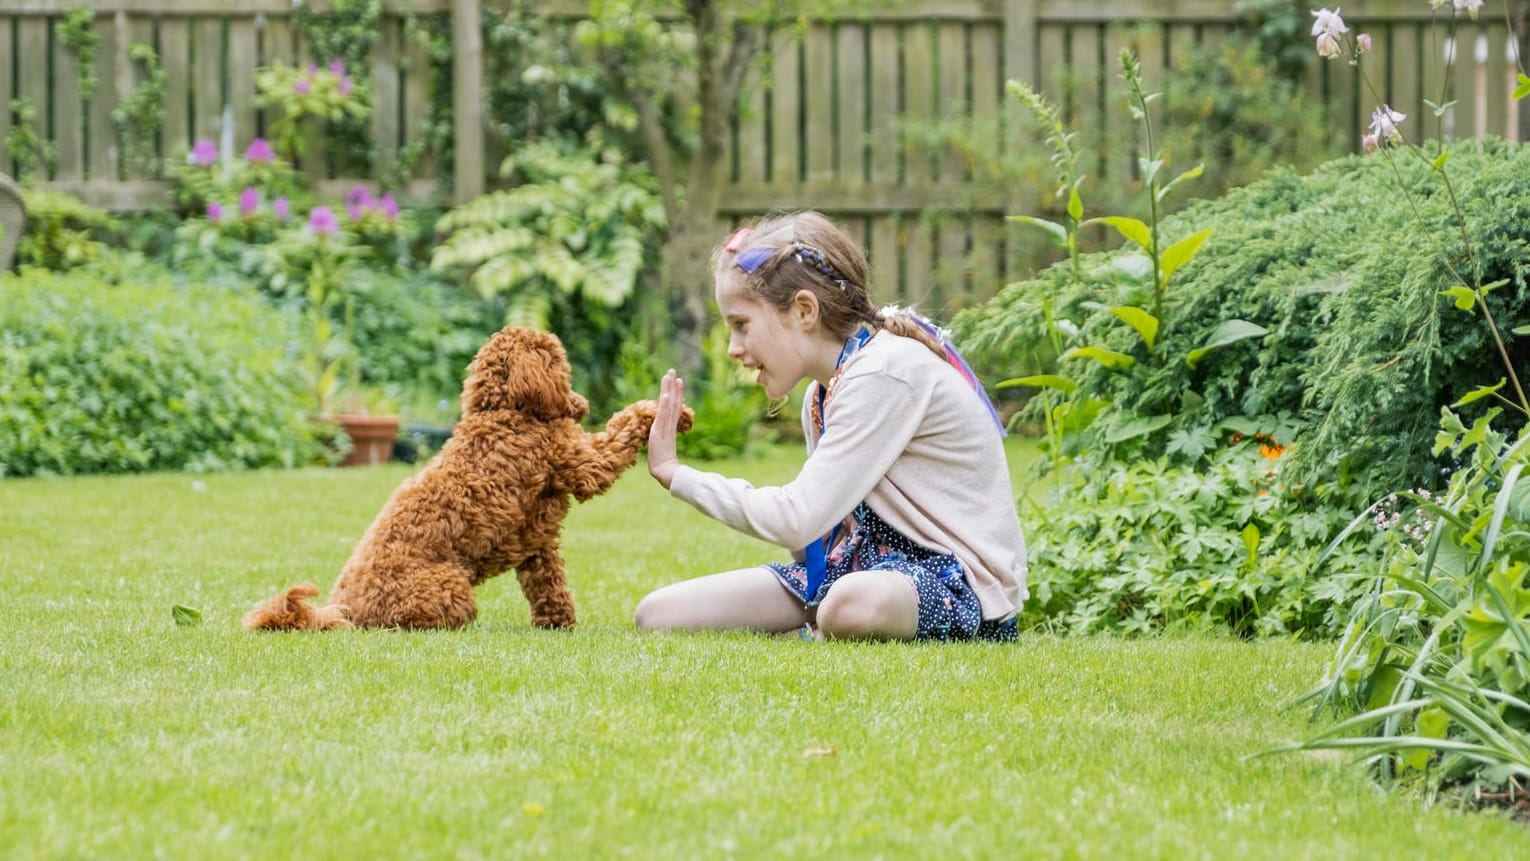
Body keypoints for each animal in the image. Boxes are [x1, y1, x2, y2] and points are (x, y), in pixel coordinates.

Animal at [243, 327, 688, 630]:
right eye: (561, 366)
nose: (581, 402)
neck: (504, 413)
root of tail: (344, 608)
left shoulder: (535, 539)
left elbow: (548, 584)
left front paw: (558, 623)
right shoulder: (579, 460)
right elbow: (621, 430)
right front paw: (666, 412)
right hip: (449, 584)